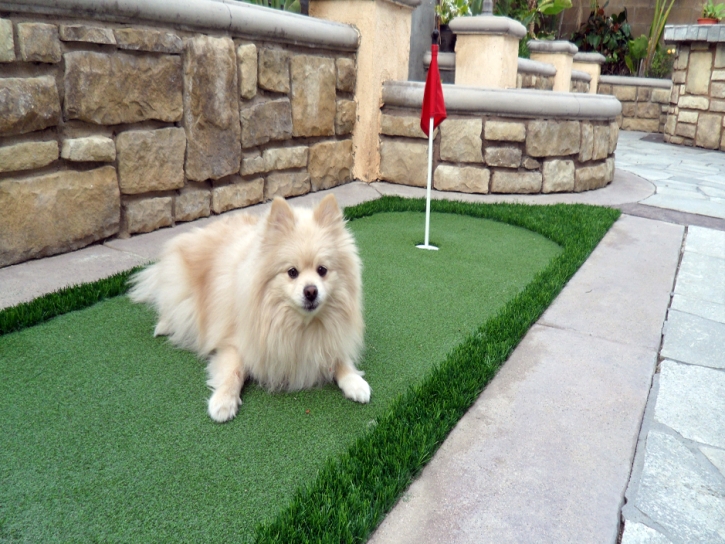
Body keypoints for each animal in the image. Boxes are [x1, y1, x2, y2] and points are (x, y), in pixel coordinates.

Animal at [127, 193, 370, 422]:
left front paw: (355, 381)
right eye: (292, 272)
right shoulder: (235, 342)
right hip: (183, 295)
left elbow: (340, 358)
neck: (298, 325)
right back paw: (165, 325)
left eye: (322, 270)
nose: (311, 291)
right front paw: (223, 401)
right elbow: (233, 371)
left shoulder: (330, 339)